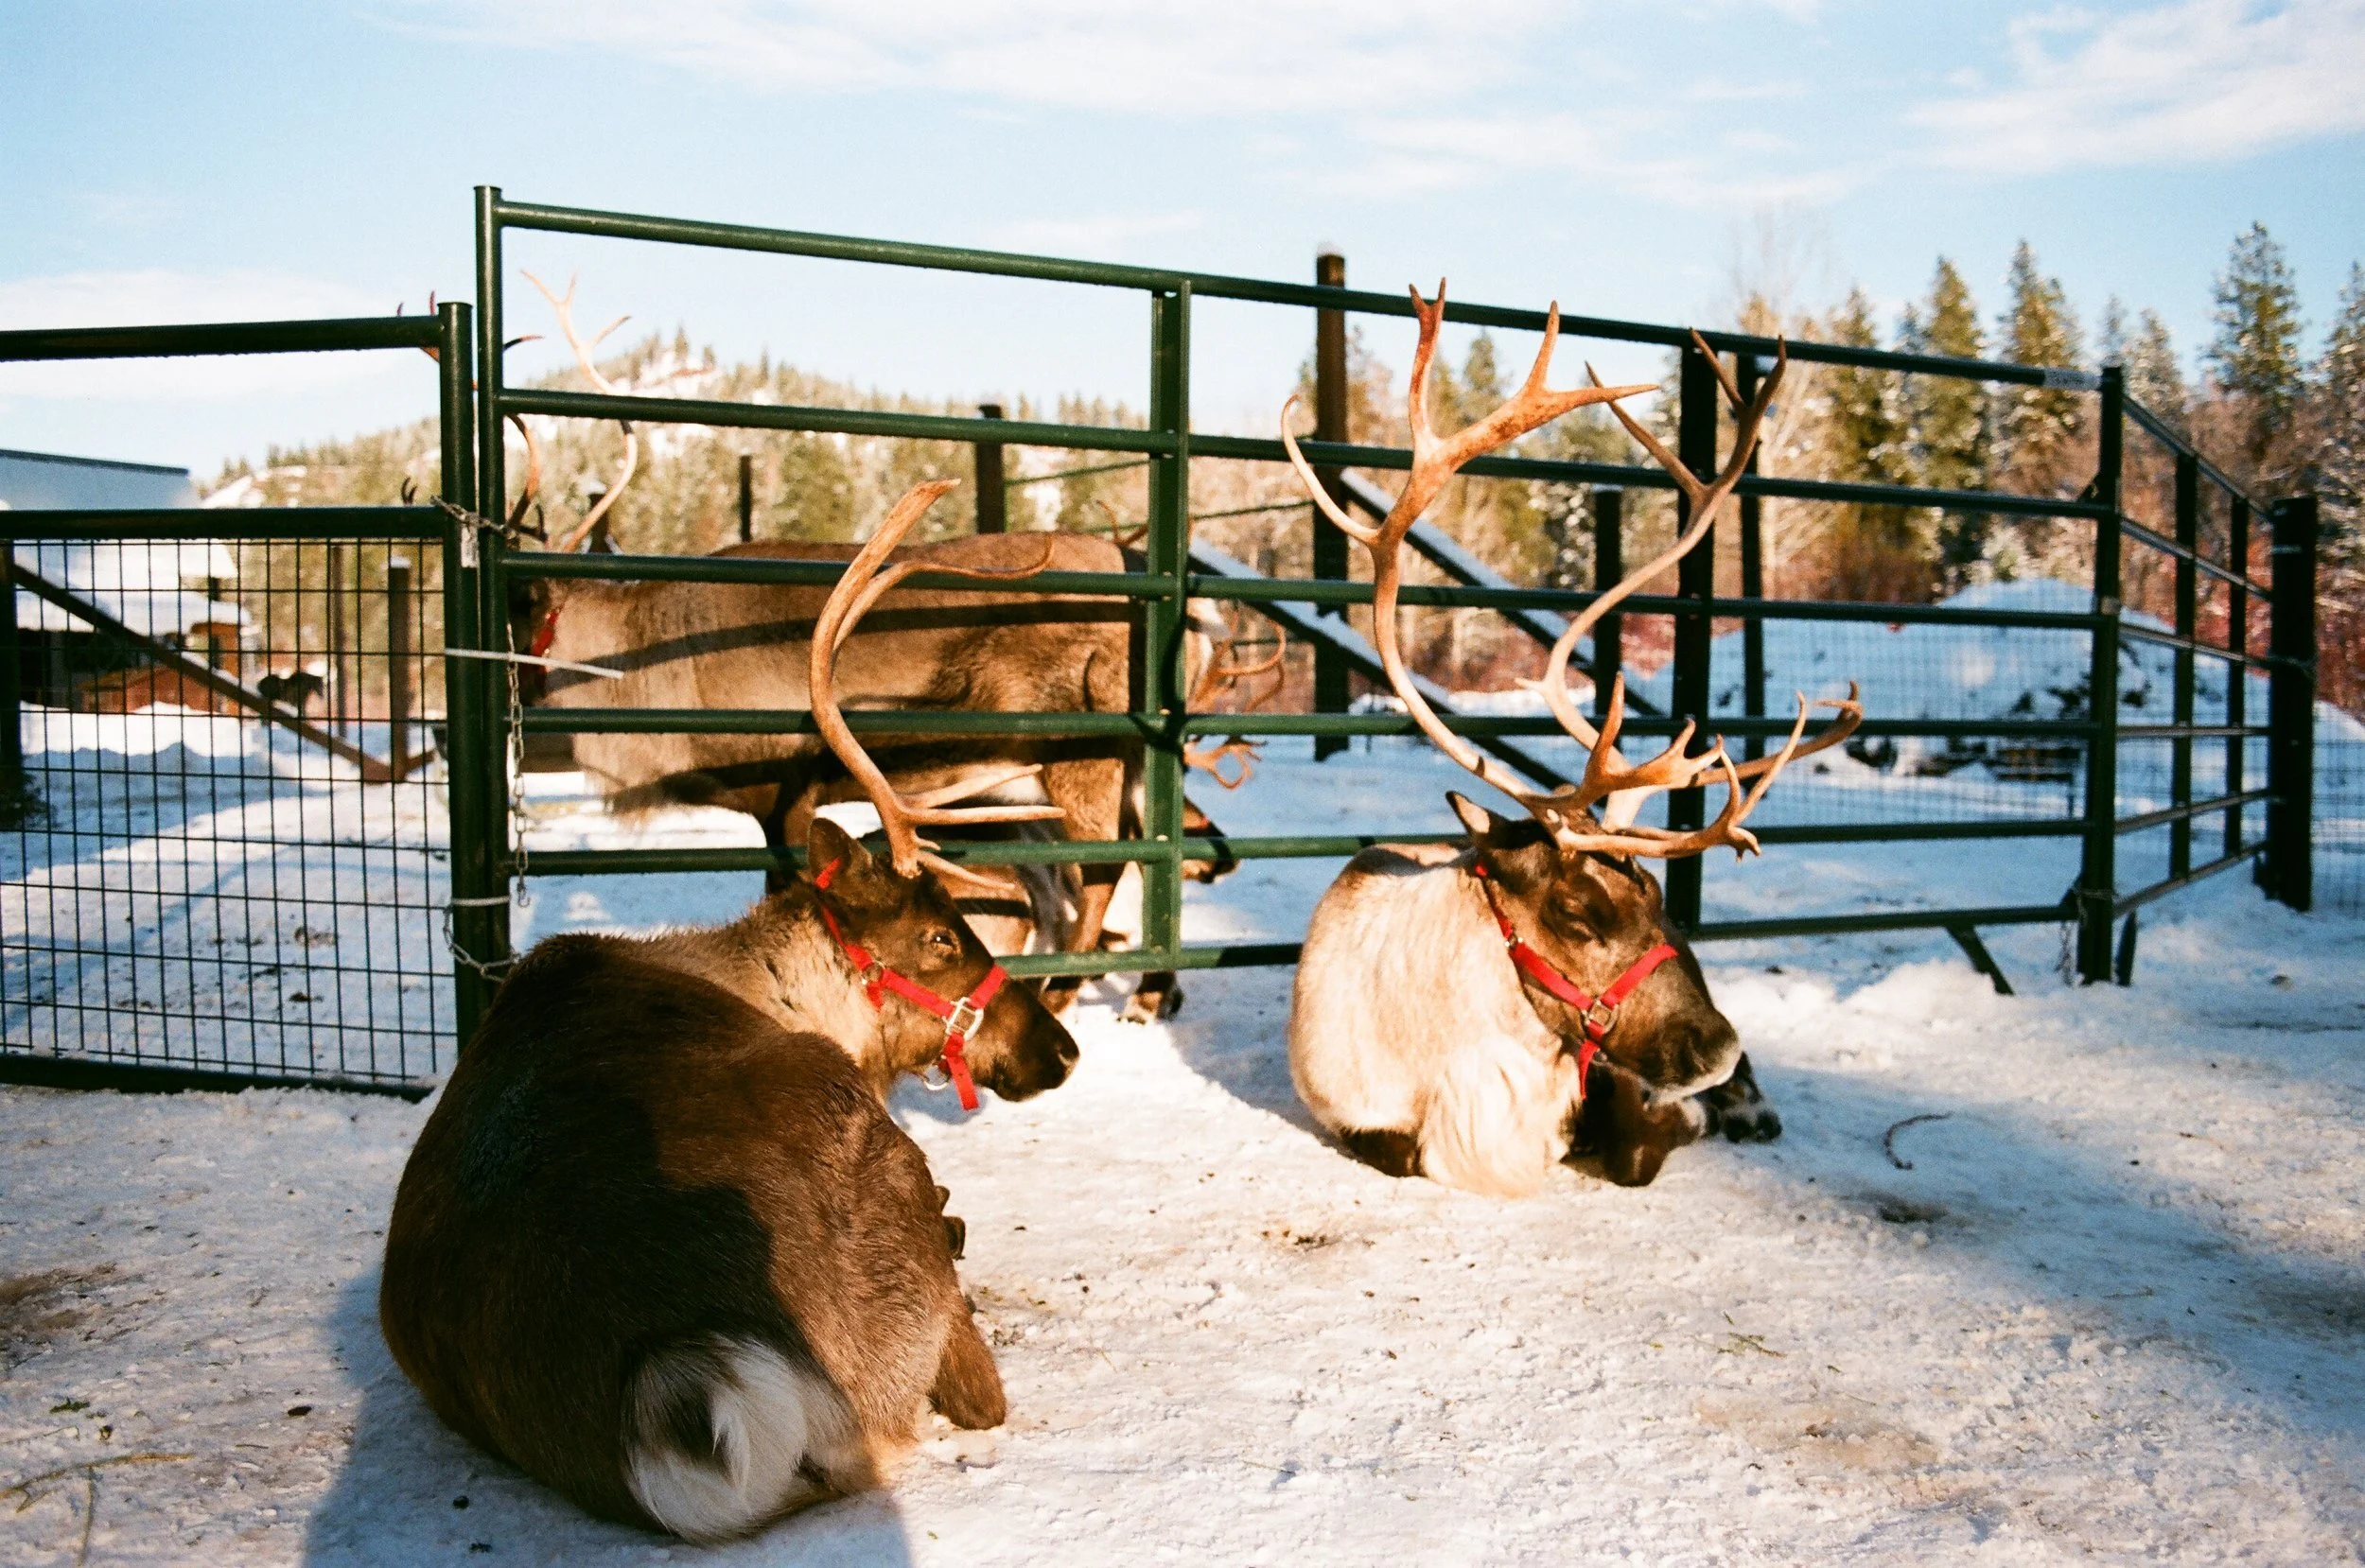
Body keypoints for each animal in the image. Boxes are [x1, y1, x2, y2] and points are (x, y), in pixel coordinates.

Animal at [1281, 286, 1861, 1197]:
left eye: (1657, 896)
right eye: (1577, 911)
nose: (1718, 1044)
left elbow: (1636, 1147)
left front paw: (1695, 1117)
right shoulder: (1363, 1119)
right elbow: (1404, 1153)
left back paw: (1750, 1108)